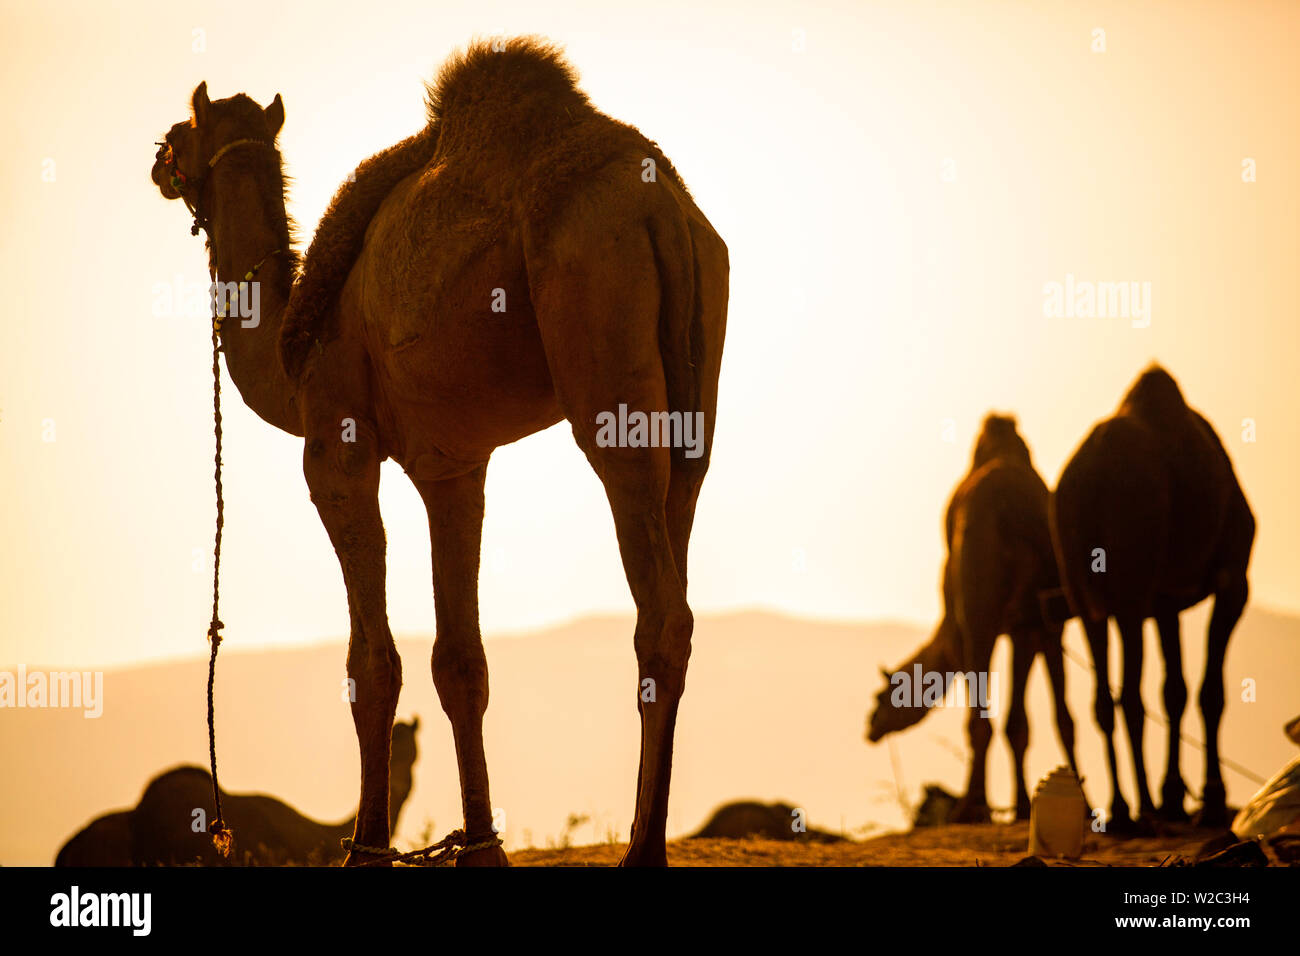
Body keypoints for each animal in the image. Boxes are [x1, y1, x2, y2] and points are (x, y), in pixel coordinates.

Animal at [149, 38, 728, 867]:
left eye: (183, 132)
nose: (157, 161)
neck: (292, 352)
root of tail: (665, 211)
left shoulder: (337, 445)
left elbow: (372, 664)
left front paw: (365, 850)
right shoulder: (453, 464)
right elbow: (460, 661)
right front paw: (482, 846)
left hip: (600, 328)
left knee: (658, 611)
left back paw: (641, 851)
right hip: (697, 393)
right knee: (681, 534)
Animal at [866, 415, 1077, 822]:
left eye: (882, 696)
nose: (870, 727)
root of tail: (1010, 511)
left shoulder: (964, 629)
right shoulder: (1025, 626)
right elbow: (1019, 722)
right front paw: (1023, 806)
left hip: (980, 608)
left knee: (980, 718)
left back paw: (968, 807)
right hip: (1046, 614)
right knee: (1059, 713)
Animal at [1051, 365, 1254, 830]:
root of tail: (1086, 482)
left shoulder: (1164, 603)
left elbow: (1174, 689)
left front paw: (1175, 795)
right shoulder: (1233, 580)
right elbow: (1210, 691)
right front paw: (1210, 801)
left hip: (1081, 590)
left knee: (1104, 698)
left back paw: (1123, 811)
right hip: (1130, 576)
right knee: (1129, 695)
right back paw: (1141, 808)